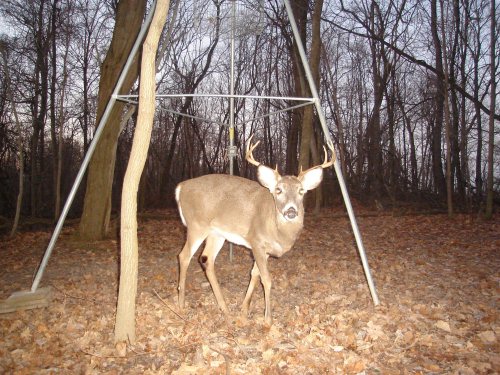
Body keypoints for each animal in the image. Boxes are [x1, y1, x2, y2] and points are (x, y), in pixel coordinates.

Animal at [176, 137, 336, 324]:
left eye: (301, 191)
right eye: (278, 190)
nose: (291, 211)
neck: (278, 232)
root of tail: (181, 186)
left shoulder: (265, 250)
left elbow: (254, 274)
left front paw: (244, 309)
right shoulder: (256, 241)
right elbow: (266, 279)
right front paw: (268, 318)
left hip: (217, 233)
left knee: (206, 259)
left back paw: (224, 307)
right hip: (196, 225)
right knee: (184, 256)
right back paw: (181, 304)